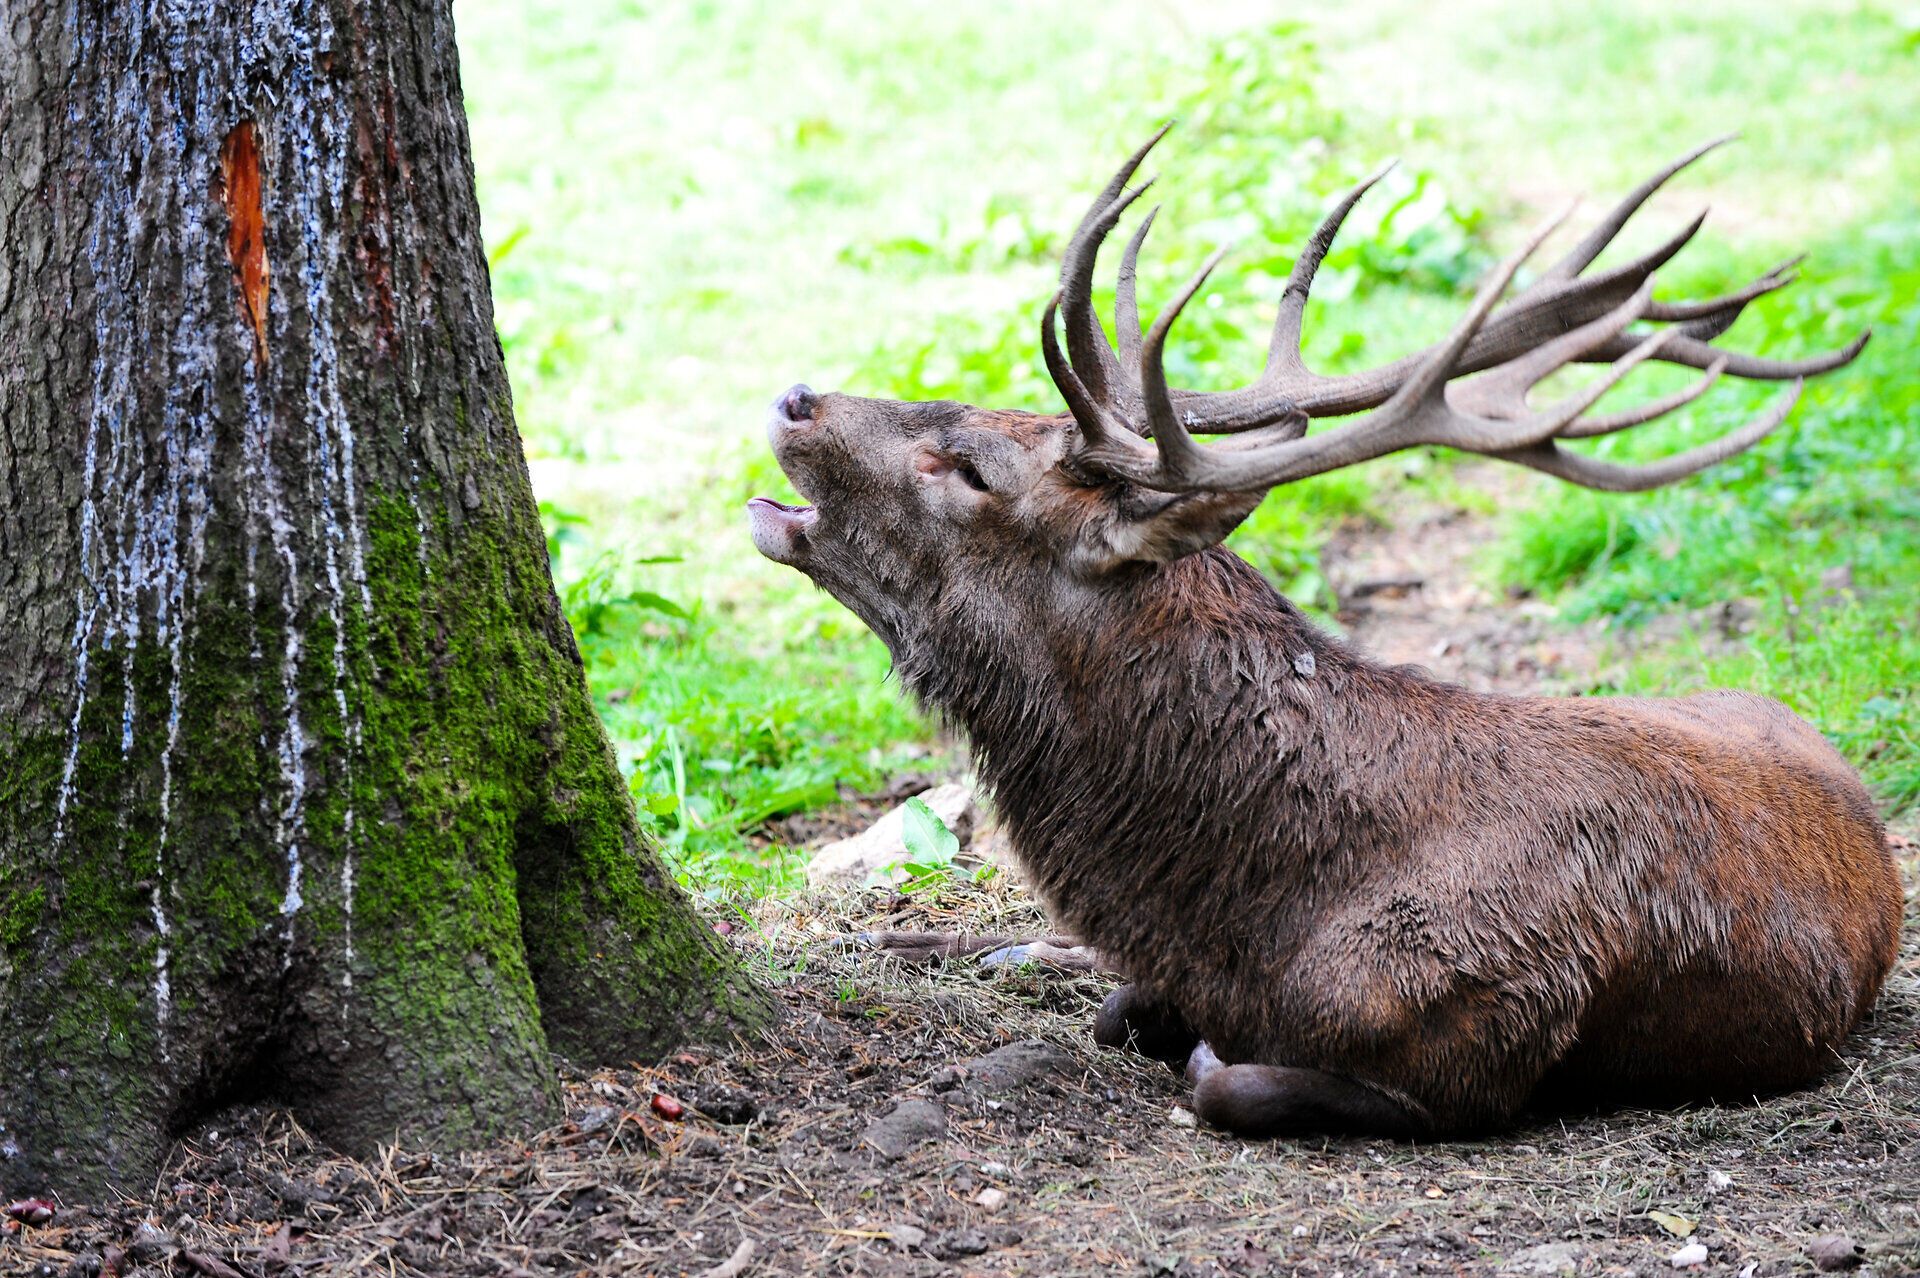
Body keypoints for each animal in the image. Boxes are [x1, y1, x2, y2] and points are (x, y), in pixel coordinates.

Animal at [746, 126, 1904, 1139]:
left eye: (974, 468)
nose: (794, 396)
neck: (1259, 917)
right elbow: (1124, 1004)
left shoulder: (1479, 1048)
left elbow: (1226, 1080)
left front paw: (1198, 1045)